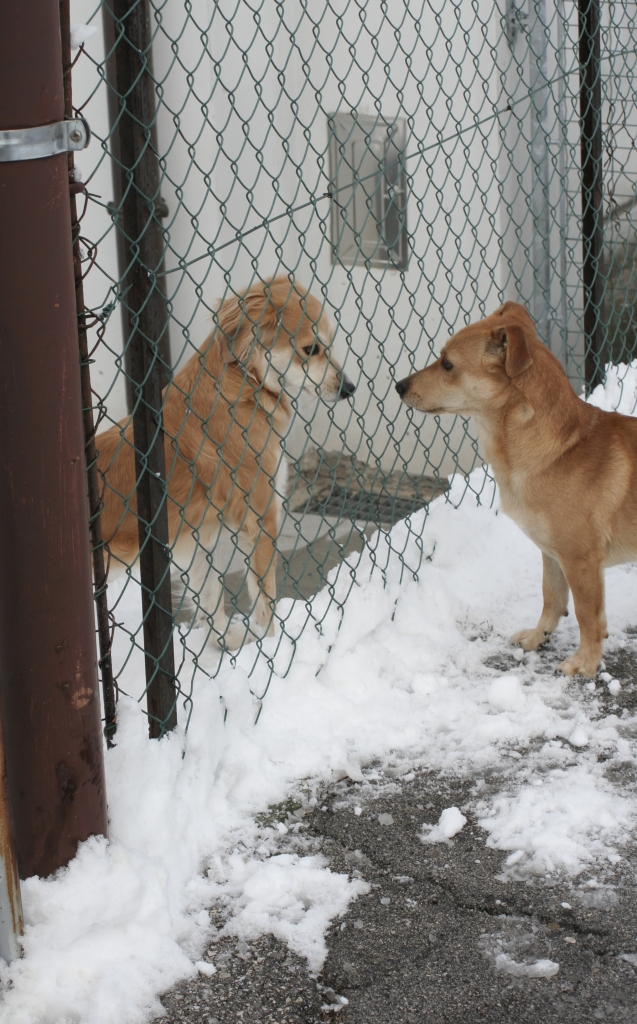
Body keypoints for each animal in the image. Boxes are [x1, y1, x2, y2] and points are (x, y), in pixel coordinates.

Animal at [97, 278, 356, 647]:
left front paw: (226, 643)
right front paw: (270, 646)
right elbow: (264, 602)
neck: (244, 383)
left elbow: (211, 600)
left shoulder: (197, 537)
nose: (350, 388)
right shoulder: (261, 519)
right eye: (310, 349)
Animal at [397, 299, 637, 675]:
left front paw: (585, 662)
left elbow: (587, 615)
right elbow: (552, 597)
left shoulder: (580, 560)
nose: (399, 386)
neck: (562, 448)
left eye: (447, 363)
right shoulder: (552, 554)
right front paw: (539, 637)